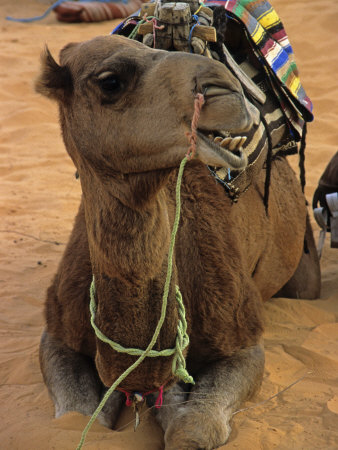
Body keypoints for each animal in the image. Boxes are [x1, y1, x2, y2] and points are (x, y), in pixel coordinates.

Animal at [35, 33, 320, 448]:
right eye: (110, 81)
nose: (228, 91)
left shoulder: (243, 342)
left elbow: (192, 427)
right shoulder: (57, 332)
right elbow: (73, 422)